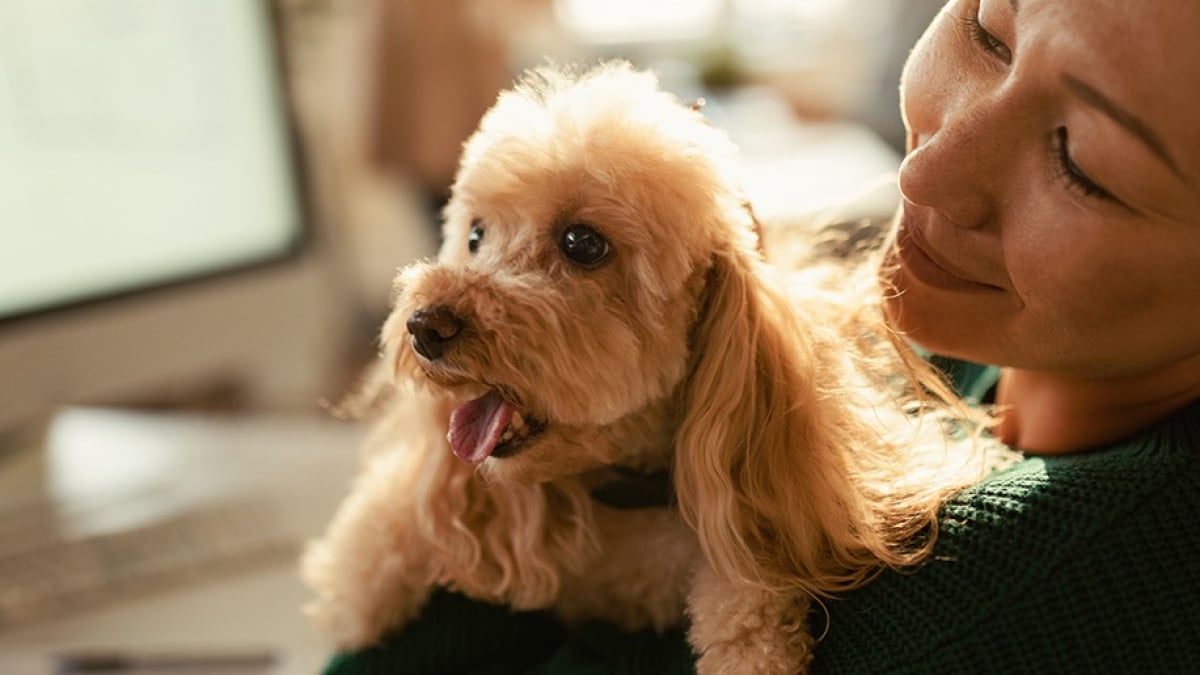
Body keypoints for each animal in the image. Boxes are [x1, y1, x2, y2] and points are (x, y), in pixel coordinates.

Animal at [297, 60, 984, 667]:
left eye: (582, 244)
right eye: (474, 237)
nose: (423, 327)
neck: (626, 492)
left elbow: (745, 599)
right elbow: (381, 538)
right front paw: (358, 594)